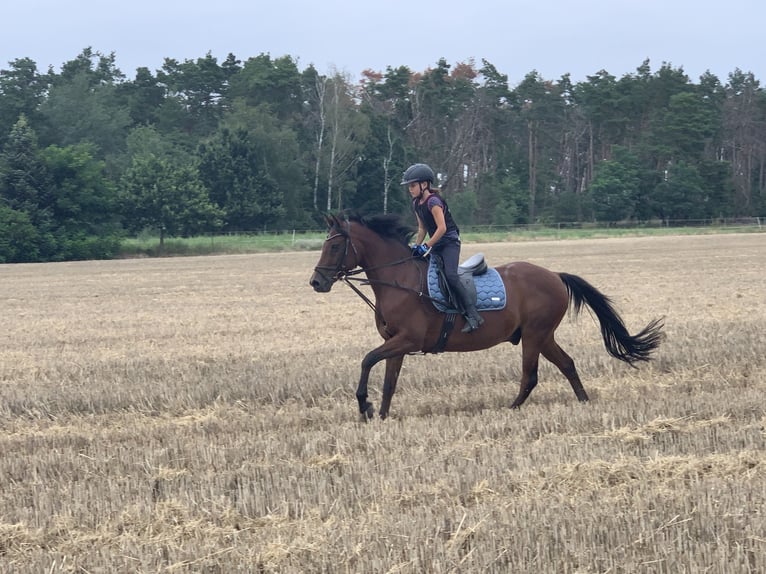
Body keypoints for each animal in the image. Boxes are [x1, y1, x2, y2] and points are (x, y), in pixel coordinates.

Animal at [308, 214, 664, 420]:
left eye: (335, 246)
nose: (316, 282)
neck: (399, 280)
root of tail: (554, 275)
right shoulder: (396, 343)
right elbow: (389, 383)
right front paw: (379, 414)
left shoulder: (408, 339)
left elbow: (367, 360)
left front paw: (363, 406)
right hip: (543, 335)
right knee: (567, 364)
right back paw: (584, 403)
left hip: (534, 335)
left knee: (531, 375)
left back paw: (512, 409)